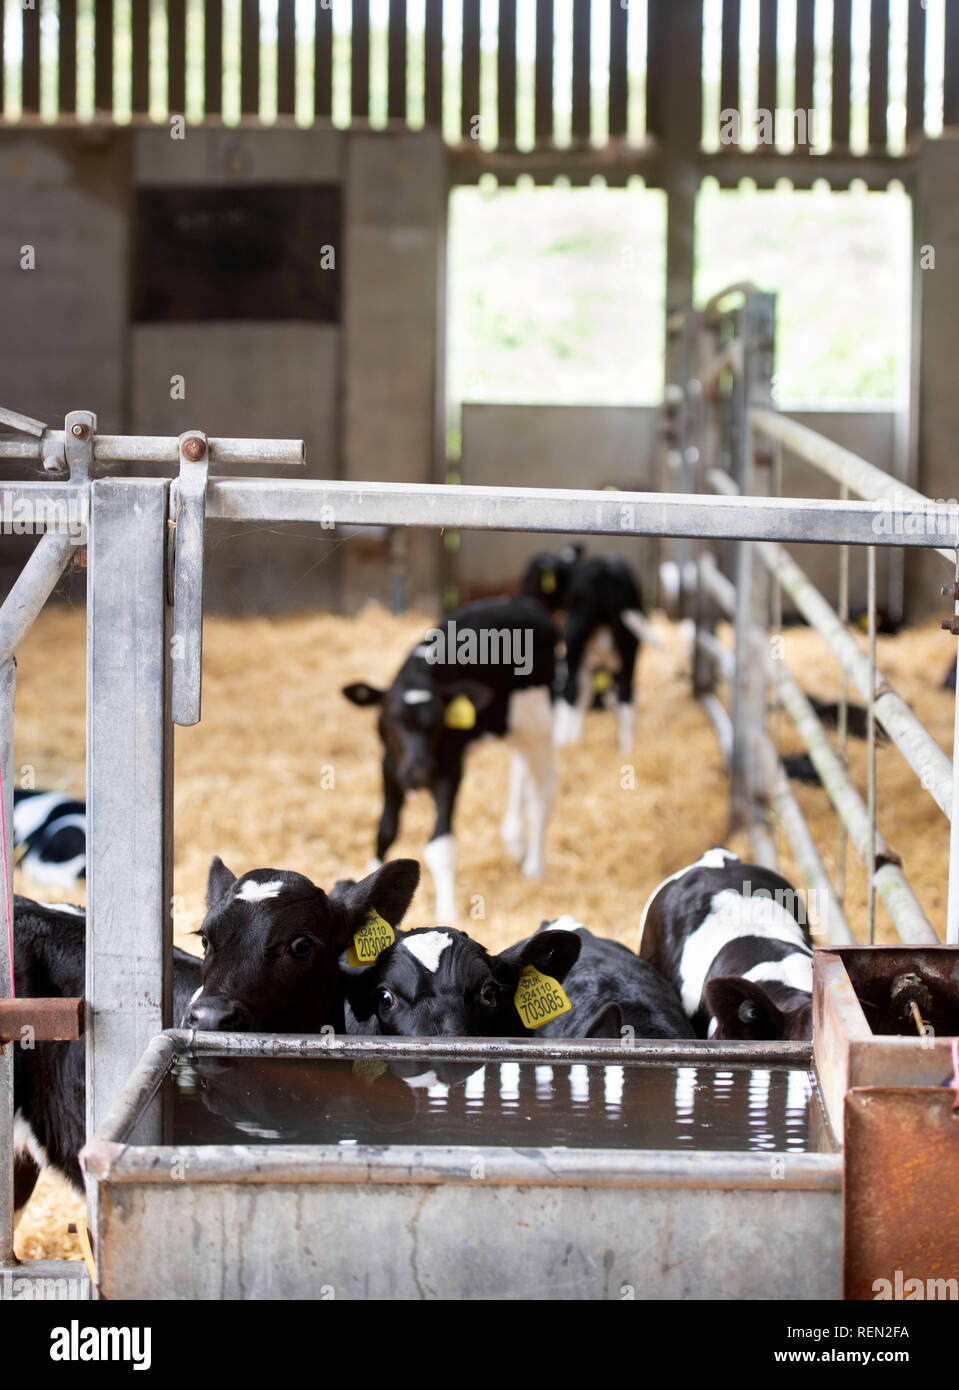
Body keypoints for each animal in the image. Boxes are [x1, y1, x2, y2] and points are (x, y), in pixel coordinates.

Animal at [343, 594, 555, 922]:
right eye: (392, 720)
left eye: (438, 723)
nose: (418, 771)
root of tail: (520, 600)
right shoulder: (390, 764)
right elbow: (385, 830)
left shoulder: (448, 771)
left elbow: (440, 845)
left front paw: (446, 914)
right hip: (512, 725)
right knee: (520, 767)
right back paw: (514, 838)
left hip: (539, 722)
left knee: (542, 794)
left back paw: (534, 865)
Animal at [522, 547, 650, 756]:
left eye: (531, 578)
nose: (524, 598)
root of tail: (607, 569)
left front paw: (570, 738)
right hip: (629, 643)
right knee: (625, 692)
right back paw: (626, 749)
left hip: (575, 635)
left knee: (571, 689)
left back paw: (563, 741)